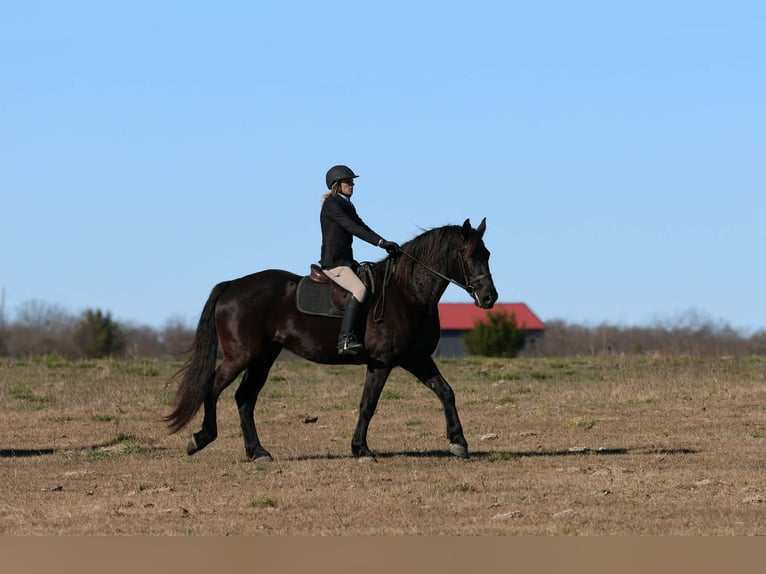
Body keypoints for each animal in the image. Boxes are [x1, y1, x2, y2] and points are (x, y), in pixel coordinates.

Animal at [164, 218, 498, 461]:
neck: (407, 293)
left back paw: (257, 452)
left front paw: (459, 442)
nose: (489, 298)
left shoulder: (416, 358)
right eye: (468, 255)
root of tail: (232, 285)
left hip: (263, 358)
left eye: (487, 254)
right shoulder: (383, 362)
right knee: (213, 389)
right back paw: (201, 438)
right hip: (241, 356)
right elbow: (368, 404)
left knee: (244, 398)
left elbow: (446, 392)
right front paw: (361, 449)